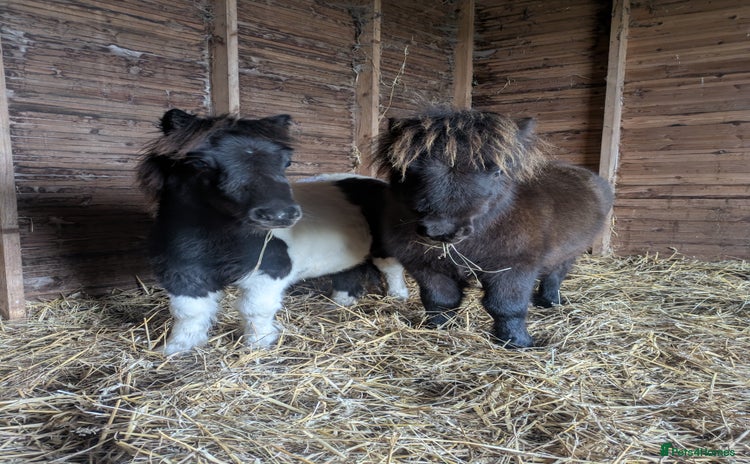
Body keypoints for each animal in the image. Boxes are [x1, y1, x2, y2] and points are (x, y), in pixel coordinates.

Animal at [137, 109, 407, 355]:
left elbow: (256, 309)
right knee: (347, 274)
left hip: (384, 249)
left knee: (392, 270)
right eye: (199, 163)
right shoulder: (183, 274)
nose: (280, 214)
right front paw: (178, 348)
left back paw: (398, 297)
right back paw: (340, 304)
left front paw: (259, 344)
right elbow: (188, 313)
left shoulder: (269, 272)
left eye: (286, 162)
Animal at [373, 108, 614, 348]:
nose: (441, 230)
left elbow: (507, 307)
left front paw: (518, 343)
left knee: (554, 276)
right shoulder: (429, 268)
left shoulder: (513, 269)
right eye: (405, 170)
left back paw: (549, 302)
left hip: (567, 255)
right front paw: (440, 329)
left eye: (497, 171)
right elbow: (440, 301)